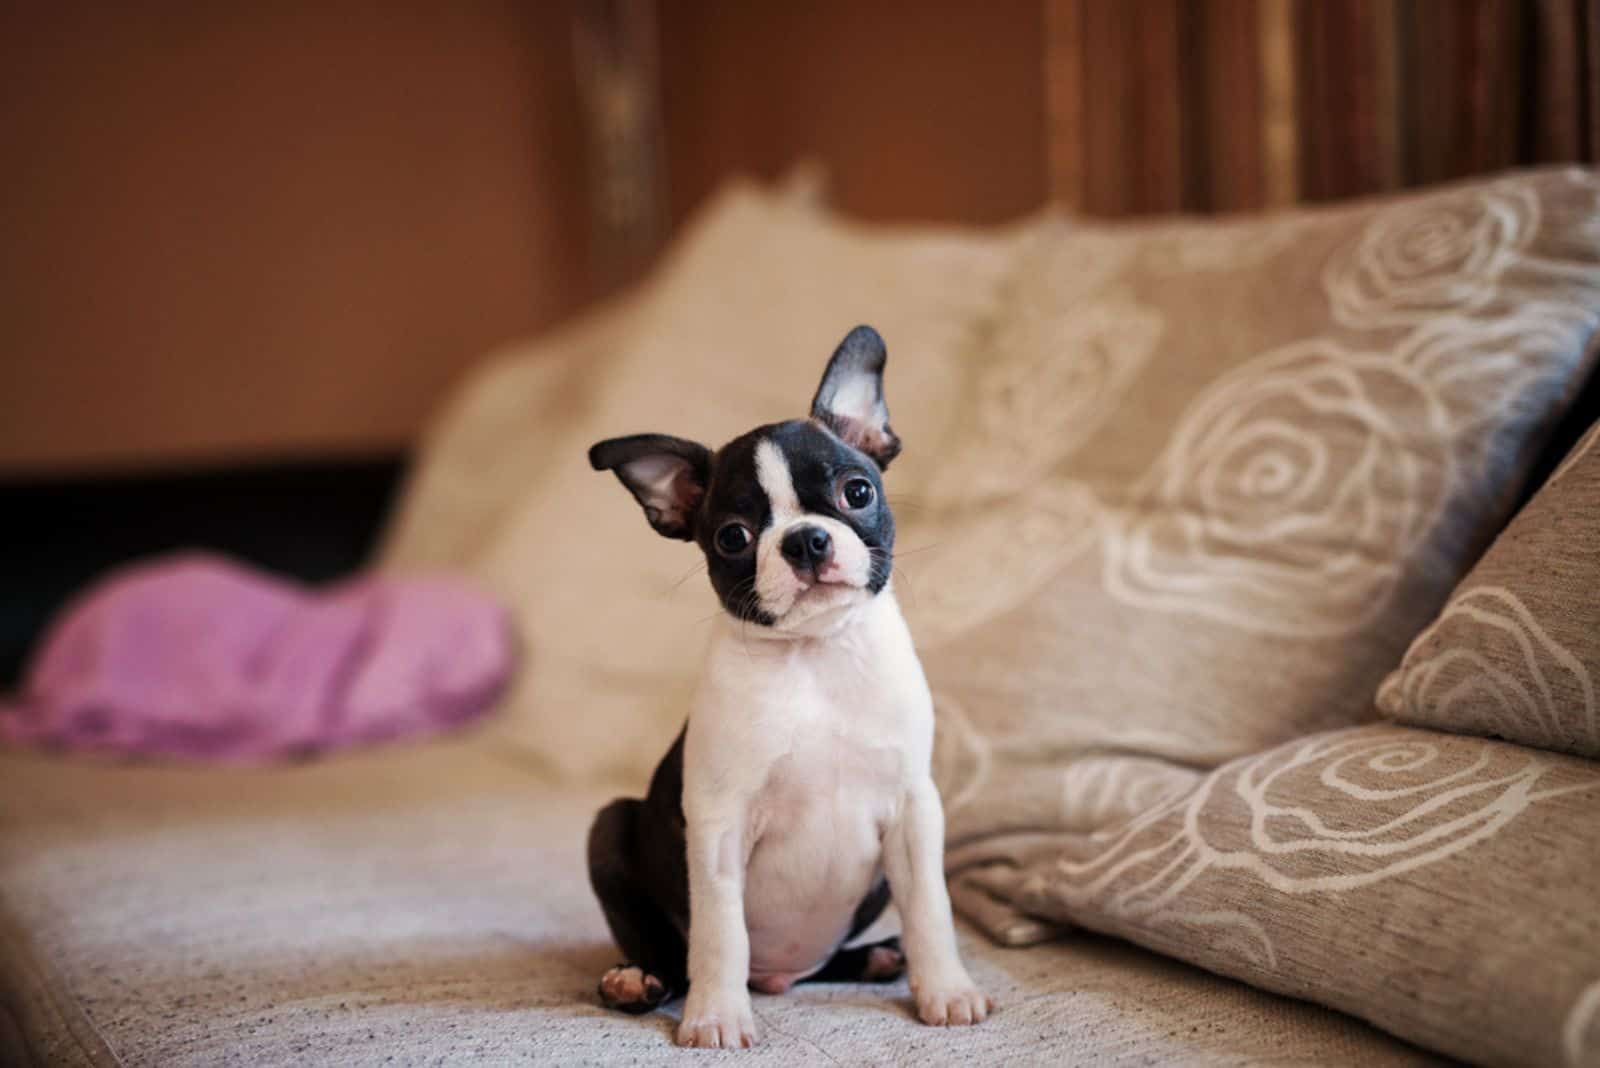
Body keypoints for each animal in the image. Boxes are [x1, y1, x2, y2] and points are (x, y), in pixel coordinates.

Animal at [588, 322, 985, 1042]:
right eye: (733, 537)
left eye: (858, 492)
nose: (804, 540)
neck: (816, 654)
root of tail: (780, 978)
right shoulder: (718, 822)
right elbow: (720, 930)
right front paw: (716, 1016)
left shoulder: (914, 809)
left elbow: (931, 909)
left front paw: (945, 988)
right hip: (609, 827)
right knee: (670, 952)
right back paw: (637, 979)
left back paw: (879, 958)